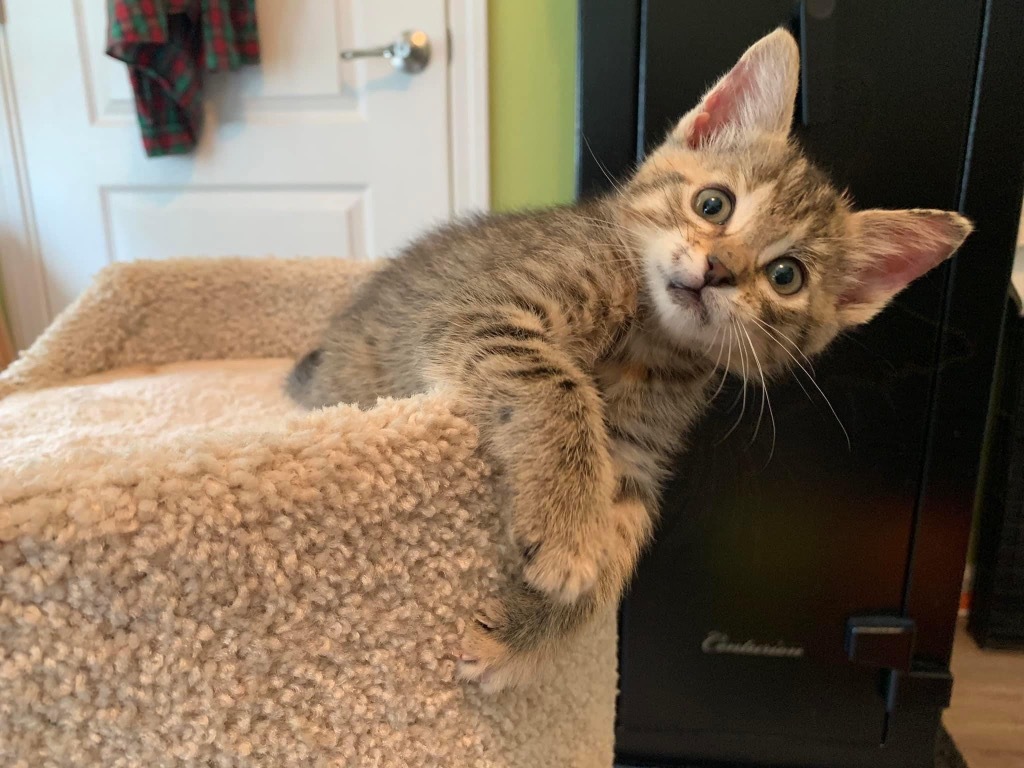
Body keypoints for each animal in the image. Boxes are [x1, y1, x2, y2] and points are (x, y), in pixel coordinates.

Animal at [286, 28, 966, 692]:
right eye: (713, 204)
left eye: (785, 276)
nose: (718, 270)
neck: (648, 341)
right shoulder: (480, 309)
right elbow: (556, 383)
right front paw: (567, 531)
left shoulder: (636, 454)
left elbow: (622, 543)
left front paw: (530, 627)